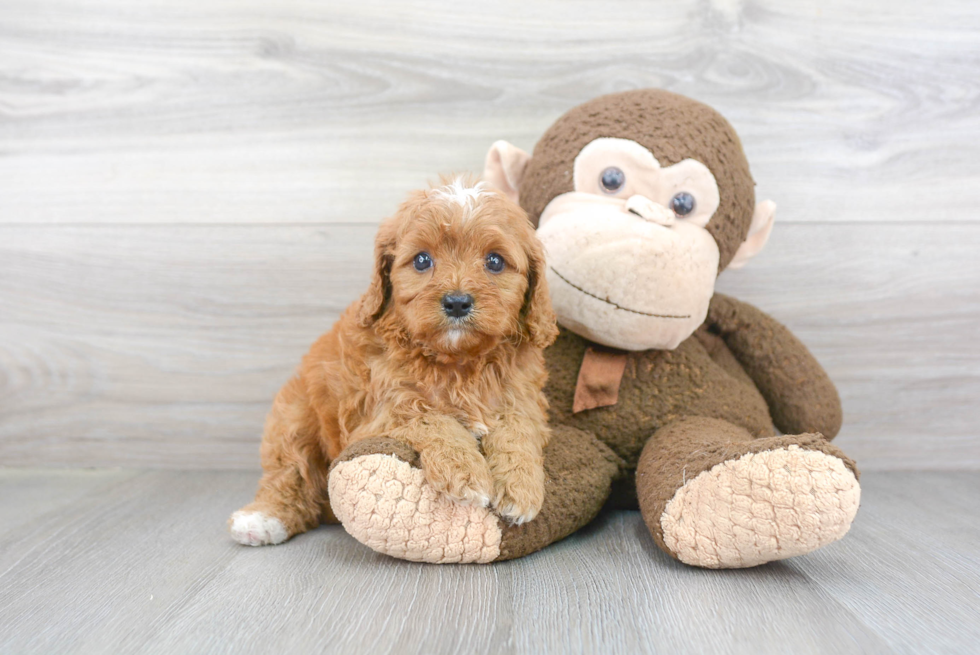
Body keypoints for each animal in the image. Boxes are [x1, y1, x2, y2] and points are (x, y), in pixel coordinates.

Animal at [225, 176, 556, 548]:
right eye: (422, 260)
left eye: (495, 262)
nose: (457, 302)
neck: (457, 361)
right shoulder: (378, 410)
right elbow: (431, 419)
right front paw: (464, 471)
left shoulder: (522, 399)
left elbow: (517, 430)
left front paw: (520, 487)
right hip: (293, 417)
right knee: (289, 472)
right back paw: (262, 519)